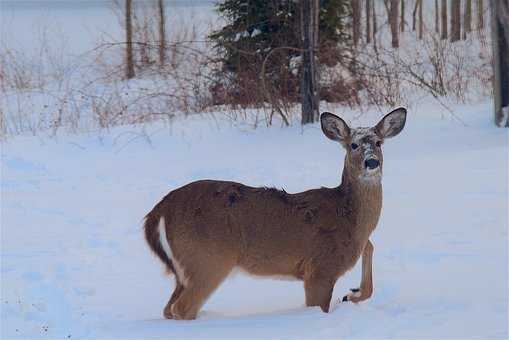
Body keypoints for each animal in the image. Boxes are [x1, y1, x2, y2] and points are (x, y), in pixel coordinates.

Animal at [143, 107, 404, 320]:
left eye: (379, 142)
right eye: (353, 145)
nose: (371, 163)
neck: (349, 219)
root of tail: (158, 211)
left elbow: (370, 251)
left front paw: (352, 294)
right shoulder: (320, 268)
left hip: (185, 268)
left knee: (168, 309)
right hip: (208, 259)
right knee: (182, 308)